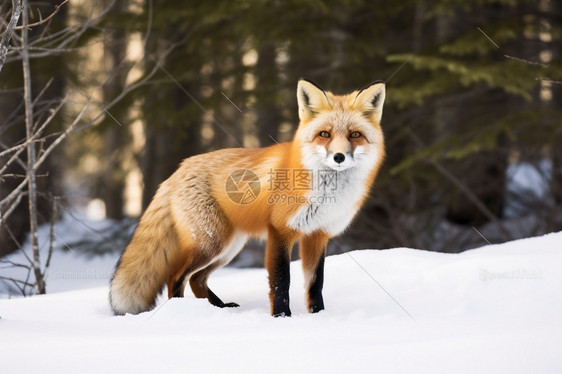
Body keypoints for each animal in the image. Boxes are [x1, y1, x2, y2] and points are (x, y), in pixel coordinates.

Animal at [110, 79, 384, 316]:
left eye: (355, 135)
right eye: (325, 134)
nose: (339, 157)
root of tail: (179, 169)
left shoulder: (317, 235)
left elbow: (315, 284)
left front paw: (319, 316)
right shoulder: (280, 231)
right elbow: (281, 281)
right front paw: (282, 317)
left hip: (229, 247)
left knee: (197, 280)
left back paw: (219, 309)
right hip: (212, 243)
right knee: (176, 277)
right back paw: (184, 312)